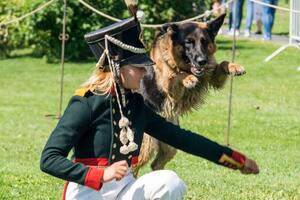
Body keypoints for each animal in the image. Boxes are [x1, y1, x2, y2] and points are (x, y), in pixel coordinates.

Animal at [136, 14, 246, 176]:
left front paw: (235, 66)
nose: (202, 61)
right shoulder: (171, 92)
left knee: (156, 164)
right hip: (146, 146)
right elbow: (177, 76)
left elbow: (222, 63)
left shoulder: (212, 76)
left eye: (204, 42)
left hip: (170, 146)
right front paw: (187, 78)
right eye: (188, 42)